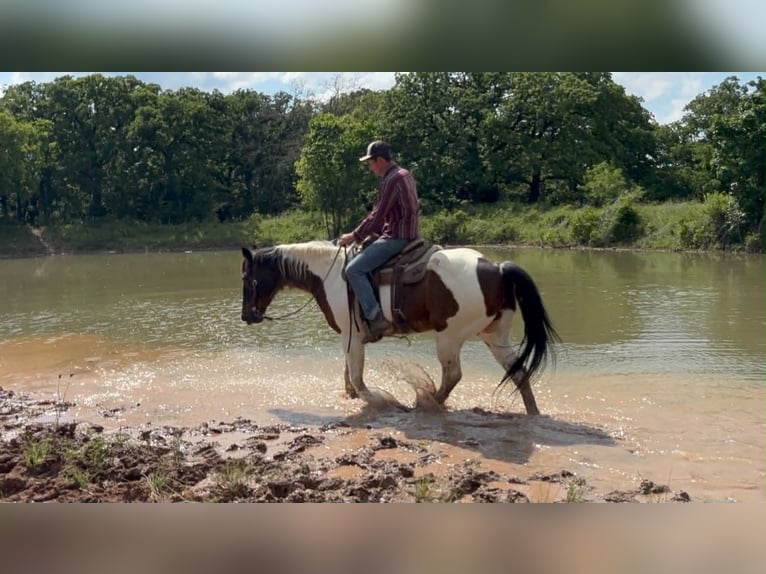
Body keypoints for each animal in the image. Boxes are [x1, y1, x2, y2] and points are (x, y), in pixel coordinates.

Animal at [240, 240, 559, 414]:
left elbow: (357, 377)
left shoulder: (351, 335)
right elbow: (348, 374)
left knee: (453, 375)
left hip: (449, 336)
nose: (246, 316)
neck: (330, 275)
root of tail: (497, 267)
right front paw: (351, 397)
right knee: (518, 372)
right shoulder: (351, 338)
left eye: (247, 278)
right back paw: (533, 413)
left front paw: (381, 400)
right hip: (494, 336)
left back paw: (426, 404)